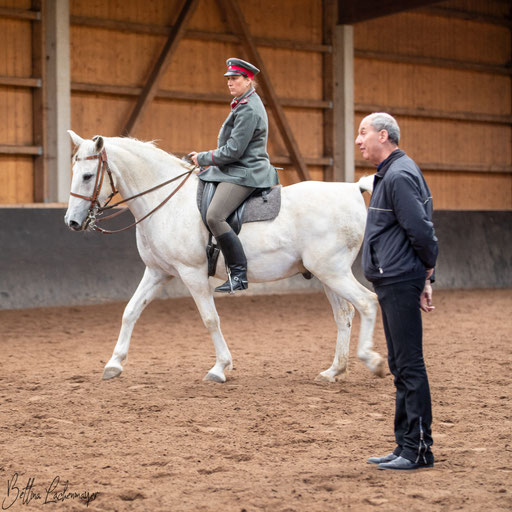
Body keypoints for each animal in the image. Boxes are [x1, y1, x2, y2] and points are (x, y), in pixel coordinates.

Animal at [65, 132, 384, 384]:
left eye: (87, 176)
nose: (72, 222)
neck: (167, 201)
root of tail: (352, 188)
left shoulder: (192, 273)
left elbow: (210, 319)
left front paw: (219, 368)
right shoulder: (157, 272)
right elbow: (130, 311)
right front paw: (114, 364)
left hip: (333, 271)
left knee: (367, 302)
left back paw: (373, 361)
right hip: (325, 274)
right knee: (344, 314)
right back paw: (334, 371)